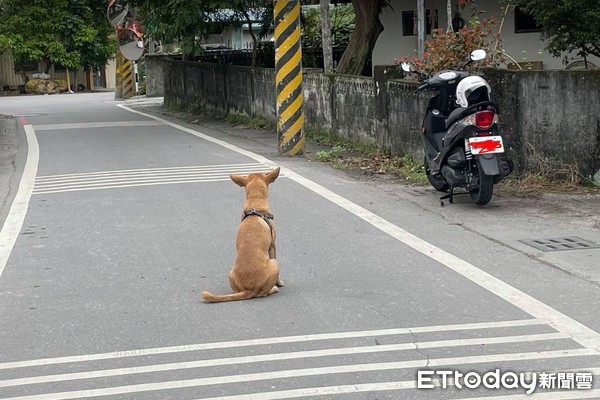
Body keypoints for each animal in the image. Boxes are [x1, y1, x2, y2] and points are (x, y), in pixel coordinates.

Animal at [202, 167, 284, 302]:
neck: (254, 203)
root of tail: (249, 290)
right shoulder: (273, 245)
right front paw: (280, 282)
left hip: (230, 274)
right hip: (274, 264)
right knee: (265, 292)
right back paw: (274, 288)